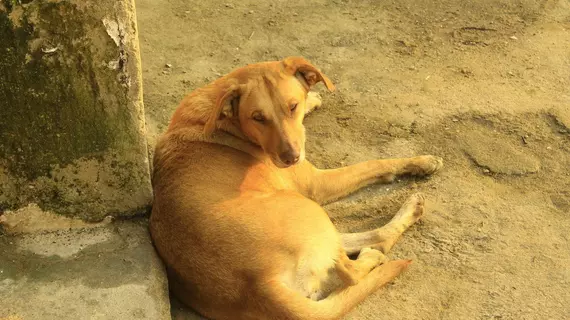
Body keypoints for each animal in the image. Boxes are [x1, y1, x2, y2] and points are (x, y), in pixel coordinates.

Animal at [149, 57, 442, 320]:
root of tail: (259, 285)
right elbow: (375, 163)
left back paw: (411, 211)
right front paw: (421, 161)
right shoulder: (318, 184)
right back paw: (372, 257)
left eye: (292, 106)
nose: (291, 158)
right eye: (257, 117)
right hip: (307, 208)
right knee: (352, 272)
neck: (221, 118)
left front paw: (312, 100)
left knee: (372, 239)